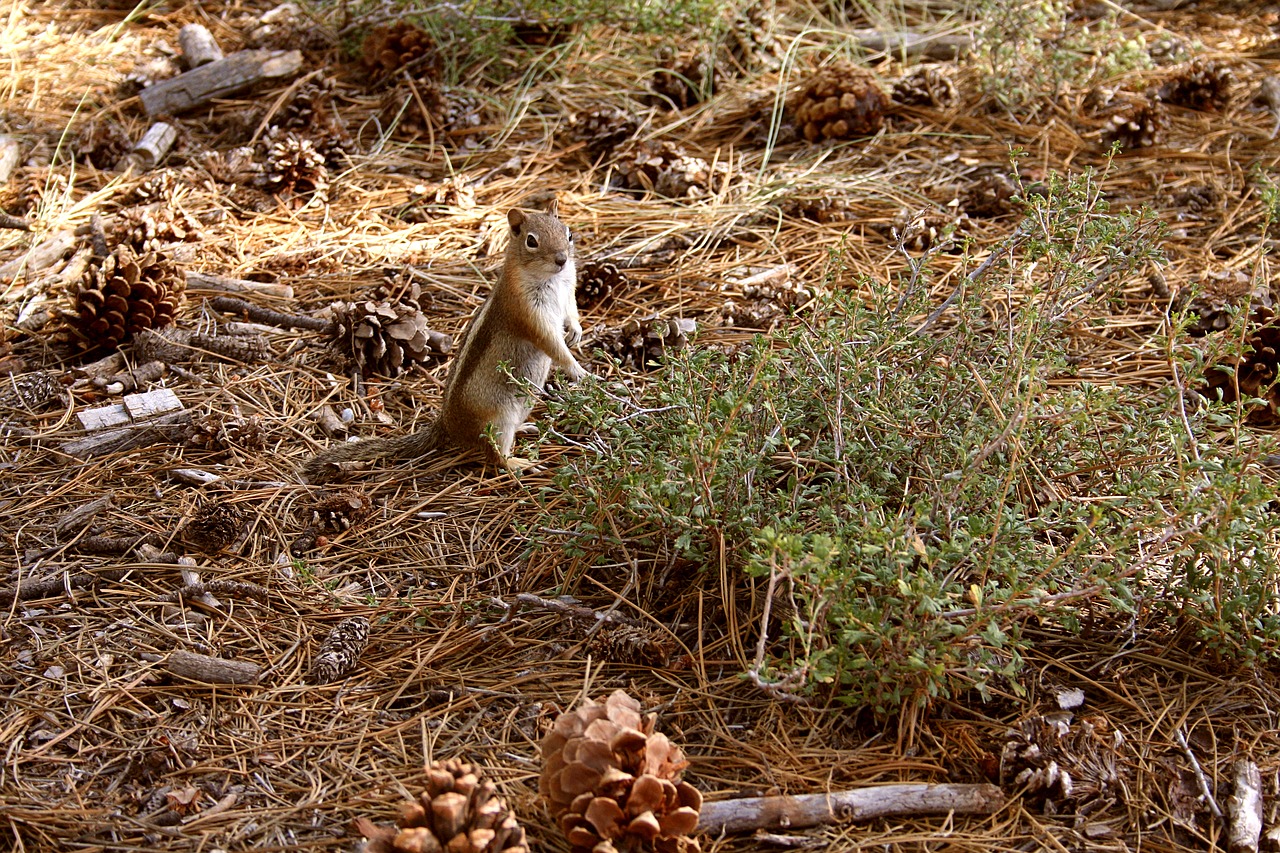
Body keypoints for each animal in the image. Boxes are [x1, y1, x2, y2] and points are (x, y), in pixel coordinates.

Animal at [299, 199, 586, 479]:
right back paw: (518, 463)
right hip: (498, 420)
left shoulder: (568, 292)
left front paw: (576, 332)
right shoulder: (526, 313)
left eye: (569, 233)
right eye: (531, 241)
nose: (562, 259)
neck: (553, 279)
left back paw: (525, 428)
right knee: (494, 456)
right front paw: (579, 370)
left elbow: (571, 312)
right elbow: (551, 344)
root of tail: (447, 425)